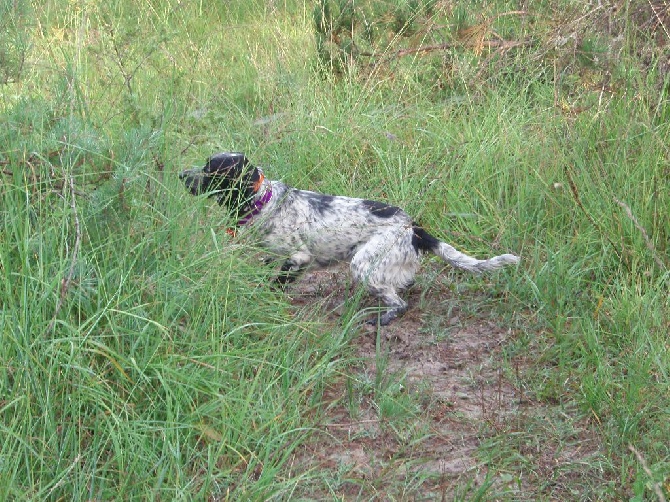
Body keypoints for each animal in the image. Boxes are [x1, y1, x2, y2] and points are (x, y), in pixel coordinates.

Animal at [181, 152, 524, 326]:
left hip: (363, 265)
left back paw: (382, 318)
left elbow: (277, 282)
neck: (265, 202)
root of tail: (413, 227)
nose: (181, 174)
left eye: (210, 170)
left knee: (400, 303)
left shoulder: (298, 257)